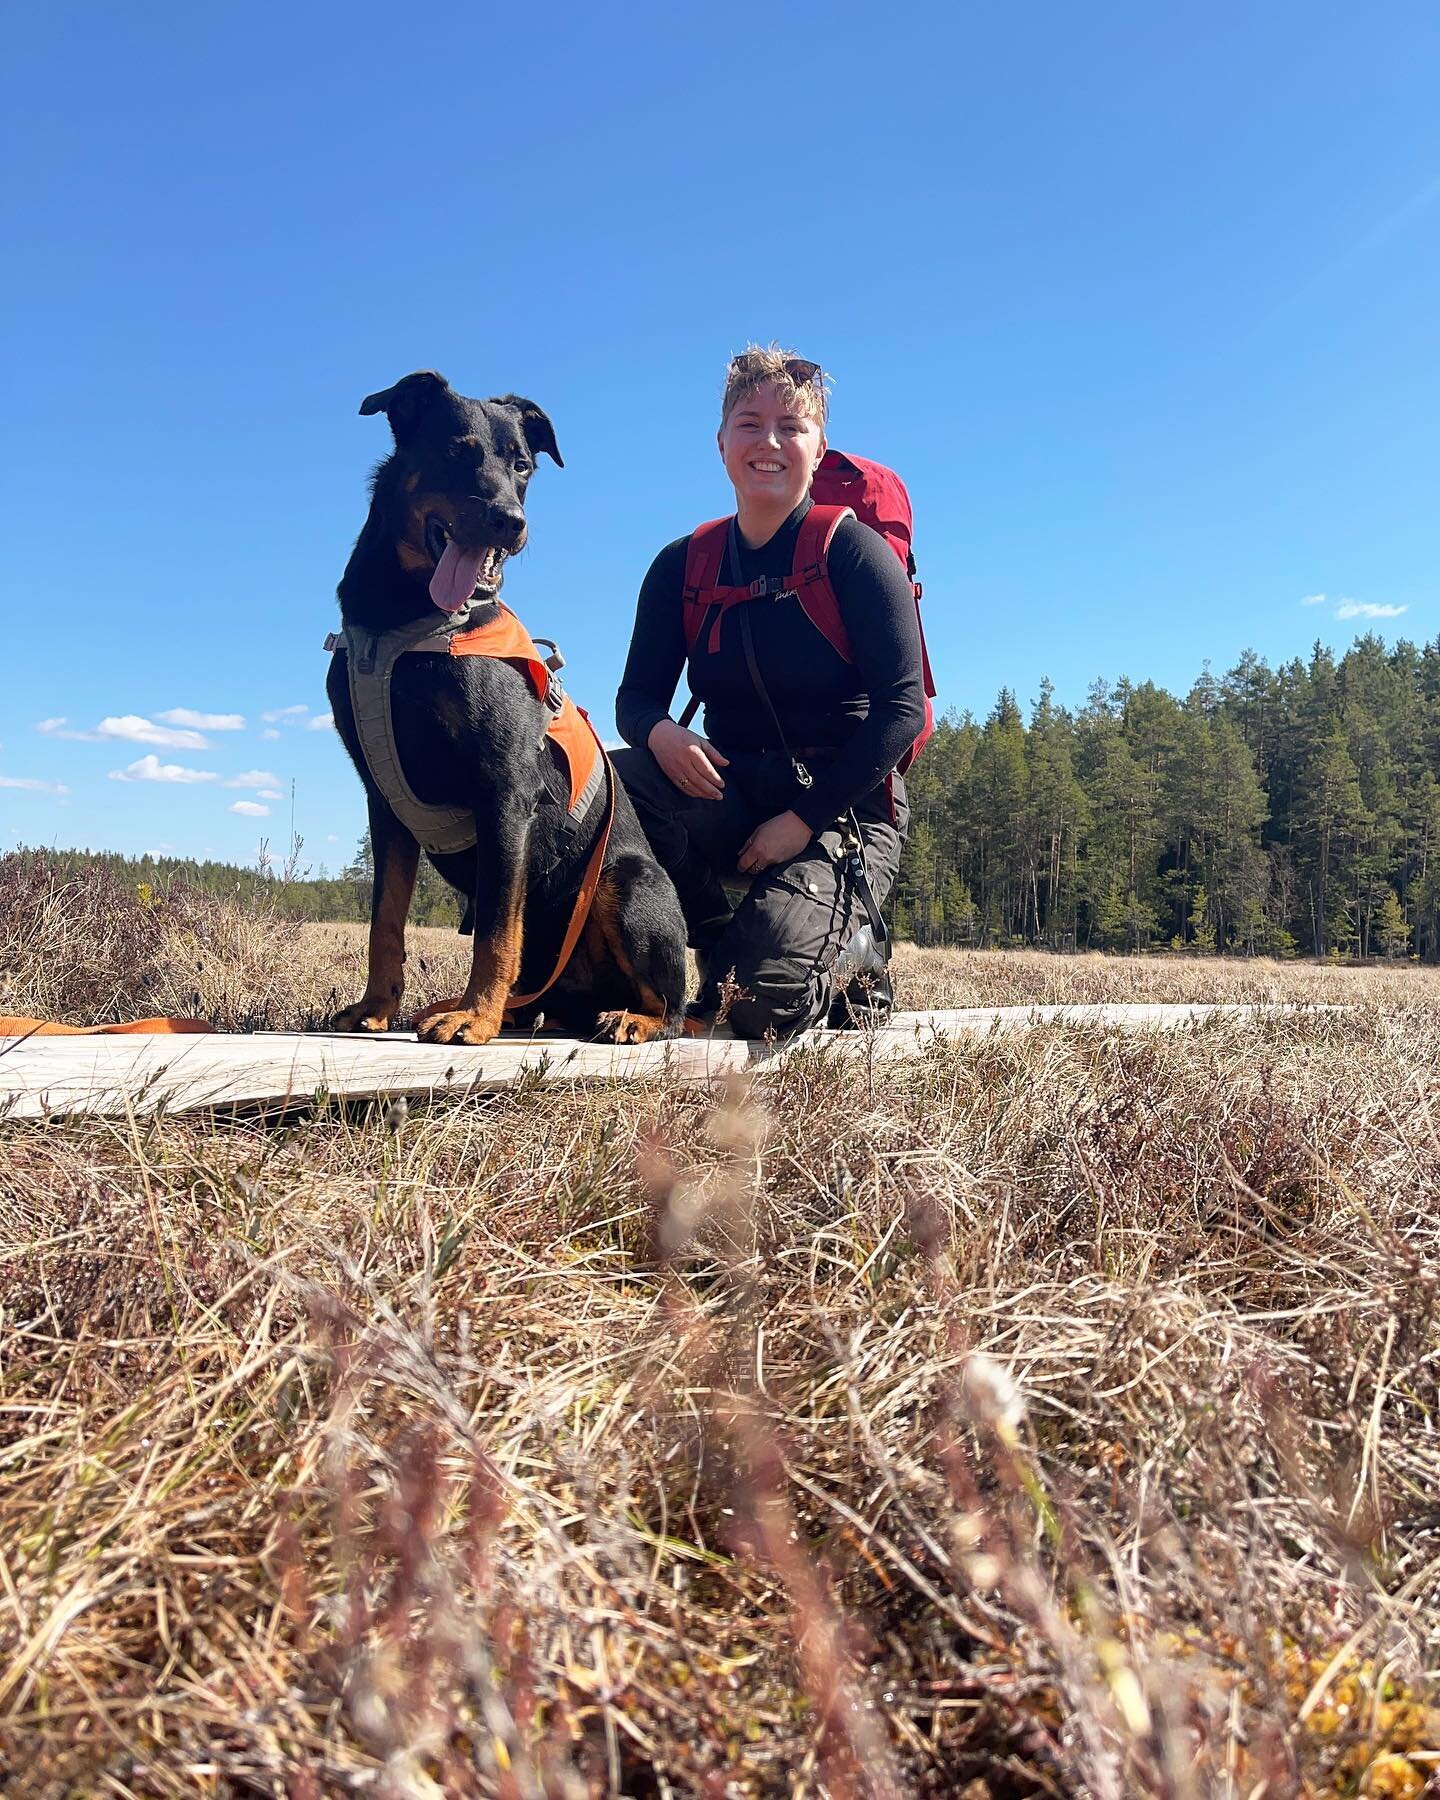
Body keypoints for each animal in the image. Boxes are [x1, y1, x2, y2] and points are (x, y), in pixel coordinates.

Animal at [325, 372, 687, 1051]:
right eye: (456, 452)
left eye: (522, 465)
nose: (509, 523)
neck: (407, 621)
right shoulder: (383, 803)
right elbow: (385, 922)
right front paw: (376, 1007)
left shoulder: (505, 791)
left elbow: (495, 930)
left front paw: (473, 1018)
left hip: (627, 883)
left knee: (676, 1006)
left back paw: (629, 1018)